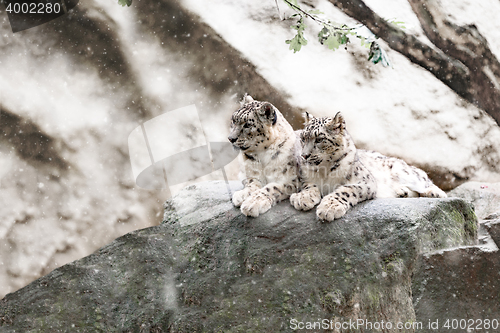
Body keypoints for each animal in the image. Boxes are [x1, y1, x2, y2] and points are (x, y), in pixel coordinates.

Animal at [292, 111, 448, 220]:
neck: (324, 171)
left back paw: (434, 192)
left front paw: (329, 208)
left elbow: (346, 190)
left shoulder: (365, 181)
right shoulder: (304, 178)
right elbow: (308, 186)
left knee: (426, 182)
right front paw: (302, 198)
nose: (304, 155)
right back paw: (401, 191)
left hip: (404, 172)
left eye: (319, 139)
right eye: (303, 138)